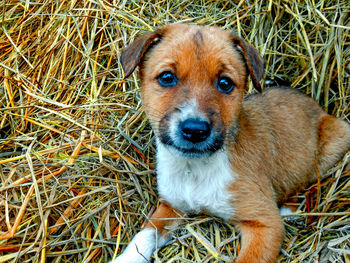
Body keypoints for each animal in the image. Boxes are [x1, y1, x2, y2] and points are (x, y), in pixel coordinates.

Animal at [112, 23, 350, 262]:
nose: (195, 130)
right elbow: (145, 235)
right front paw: (125, 257)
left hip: (331, 145)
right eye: (167, 77)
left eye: (225, 83)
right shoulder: (171, 206)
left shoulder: (265, 224)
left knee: (309, 180)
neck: (195, 169)